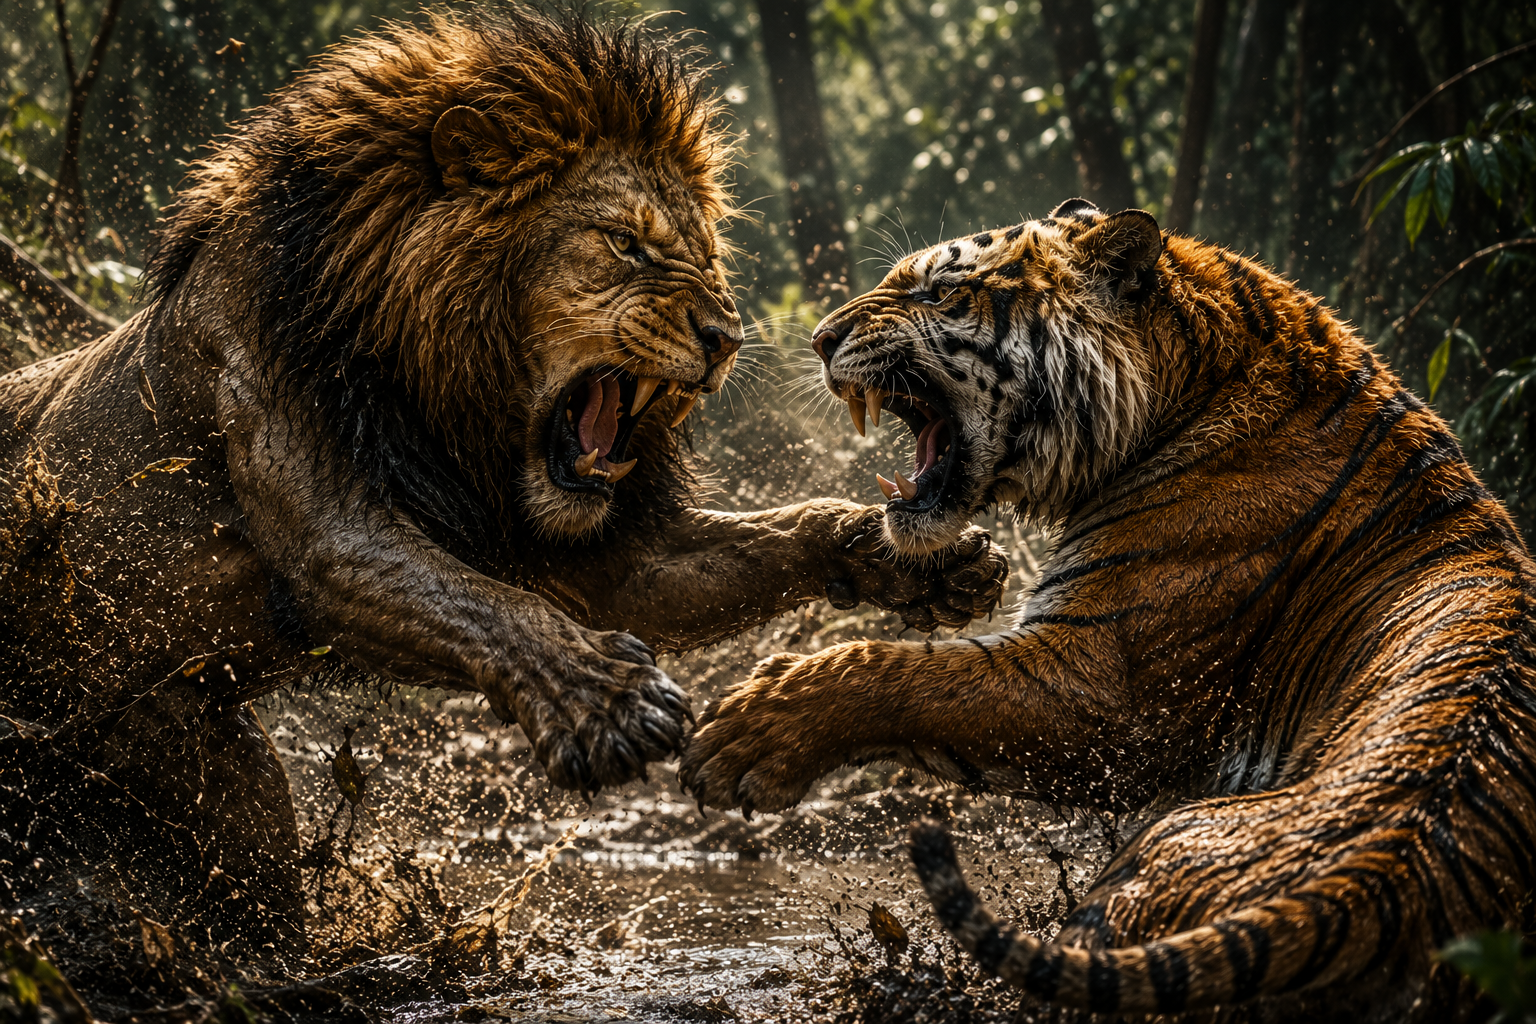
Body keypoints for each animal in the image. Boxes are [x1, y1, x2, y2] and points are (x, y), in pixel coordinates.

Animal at [0, 9, 1007, 946]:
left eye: (702, 255)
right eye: (626, 244)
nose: (727, 337)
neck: (444, 399)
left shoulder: (602, 555)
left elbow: (760, 540)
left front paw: (914, 558)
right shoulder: (317, 499)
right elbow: (484, 605)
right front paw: (604, 699)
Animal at [677, 198, 1536, 1019]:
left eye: (942, 292)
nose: (820, 339)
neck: (1187, 392)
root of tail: (1366, 885)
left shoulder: (1101, 687)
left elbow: (900, 674)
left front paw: (748, 734)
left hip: (1146, 865)